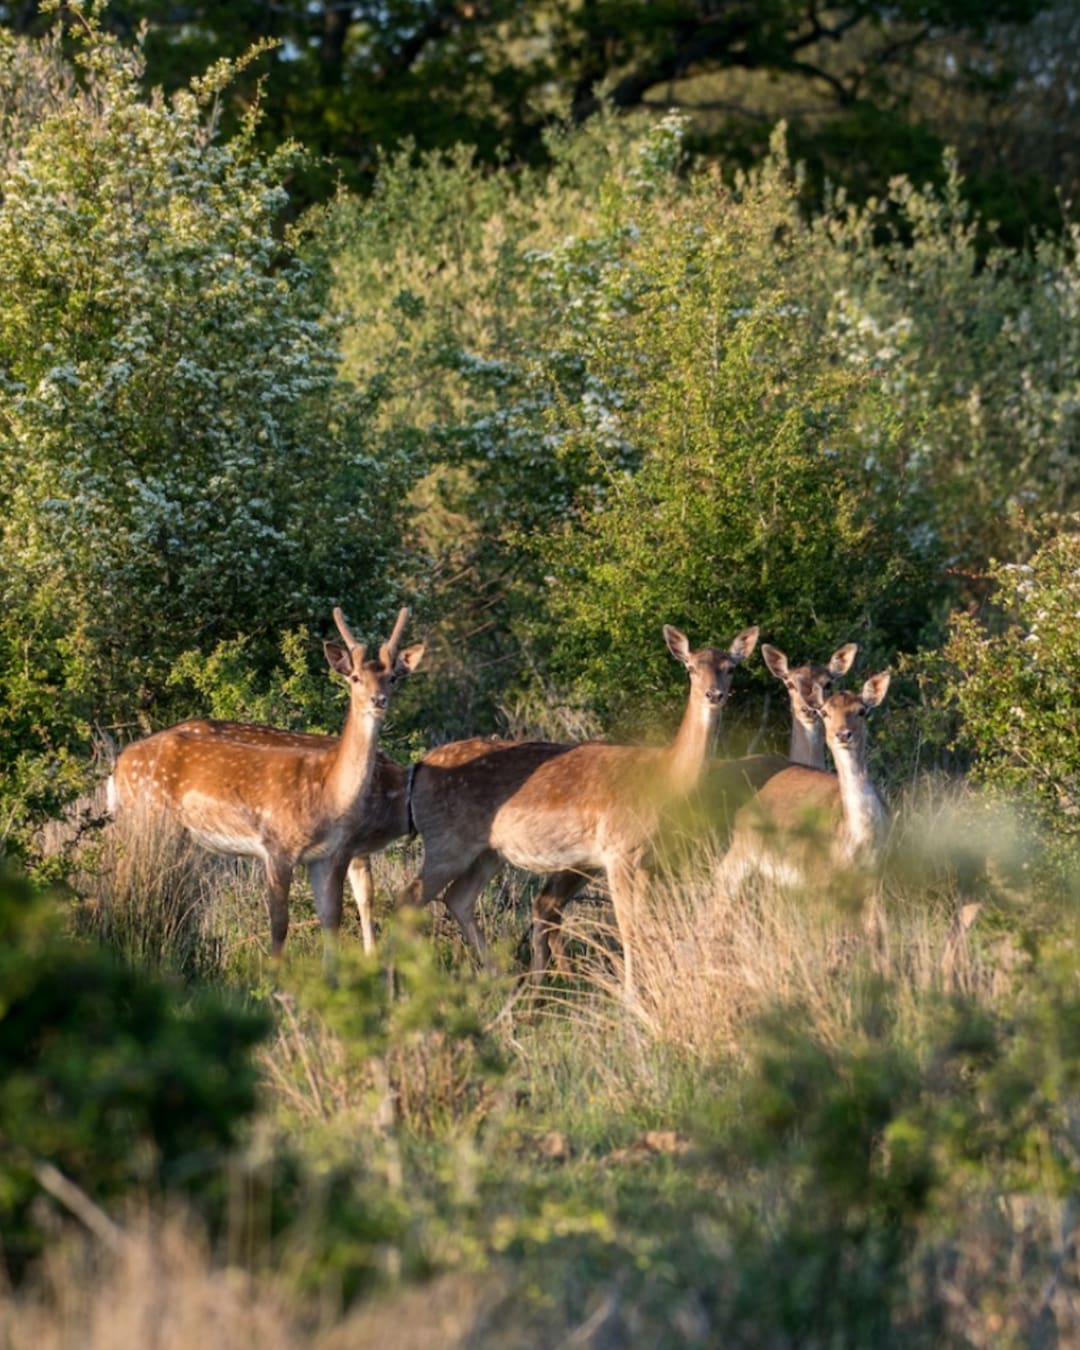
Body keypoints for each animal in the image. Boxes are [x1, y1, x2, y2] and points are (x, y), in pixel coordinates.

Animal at [108, 602, 421, 961]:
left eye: (393, 677)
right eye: (355, 677)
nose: (378, 700)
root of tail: (119, 764)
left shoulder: (340, 851)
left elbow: (346, 909)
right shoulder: (307, 848)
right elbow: (289, 921)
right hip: (145, 820)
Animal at [396, 626, 761, 999]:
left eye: (731, 667)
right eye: (690, 667)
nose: (714, 694)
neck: (665, 777)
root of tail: (417, 768)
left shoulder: (647, 860)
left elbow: (643, 923)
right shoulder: (618, 850)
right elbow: (627, 926)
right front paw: (631, 994)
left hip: (488, 852)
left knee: (458, 898)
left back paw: (506, 984)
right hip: (446, 842)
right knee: (408, 900)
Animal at [712, 664, 891, 896]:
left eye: (862, 711)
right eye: (825, 712)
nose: (843, 734)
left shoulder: (875, 879)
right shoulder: (815, 875)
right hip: (744, 848)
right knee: (721, 877)